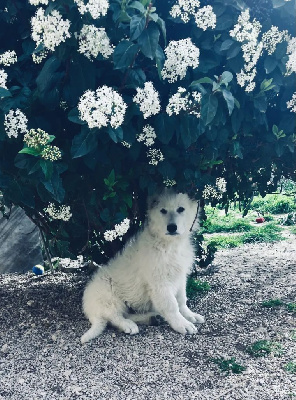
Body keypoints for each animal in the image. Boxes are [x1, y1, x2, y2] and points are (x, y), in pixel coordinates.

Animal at [81, 191, 206, 344]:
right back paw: (128, 325)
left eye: (181, 209)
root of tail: (90, 310)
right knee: (114, 316)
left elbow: (182, 300)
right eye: (163, 211)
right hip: (106, 294)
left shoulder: (180, 276)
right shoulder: (159, 283)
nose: (171, 227)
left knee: (126, 314)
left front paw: (190, 315)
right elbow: (171, 305)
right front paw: (182, 324)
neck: (169, 245)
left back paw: (152, 317)